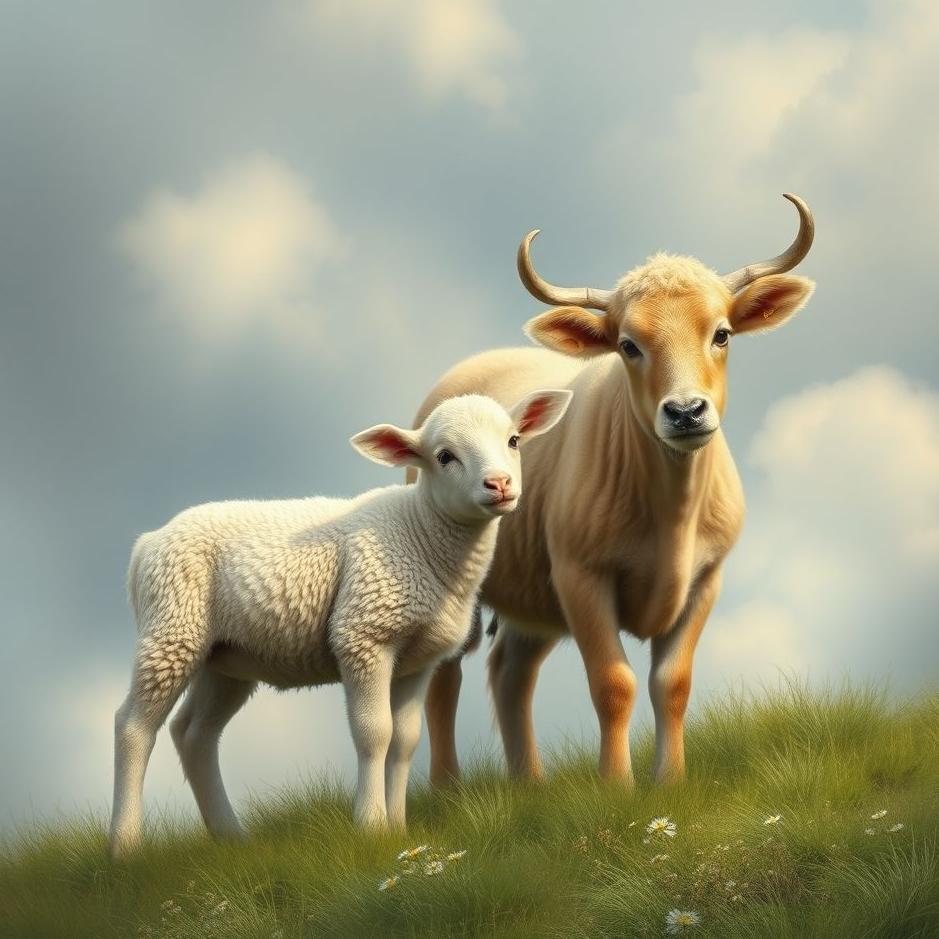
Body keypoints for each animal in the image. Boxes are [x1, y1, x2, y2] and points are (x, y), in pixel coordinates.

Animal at [108, 389, 572, 858]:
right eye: (444, 456)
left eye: (513, 440)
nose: (500, 484)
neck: (421, 531)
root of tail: (146, 544)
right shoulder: (364, 634)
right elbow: (375, 733)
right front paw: (370, 827)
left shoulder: (419, 660)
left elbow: (405, 740)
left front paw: (399, 828)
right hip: (172, 627)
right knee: (134, 726)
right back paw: (125, 847)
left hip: (224, 658)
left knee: (194, 734)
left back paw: (231, 838)